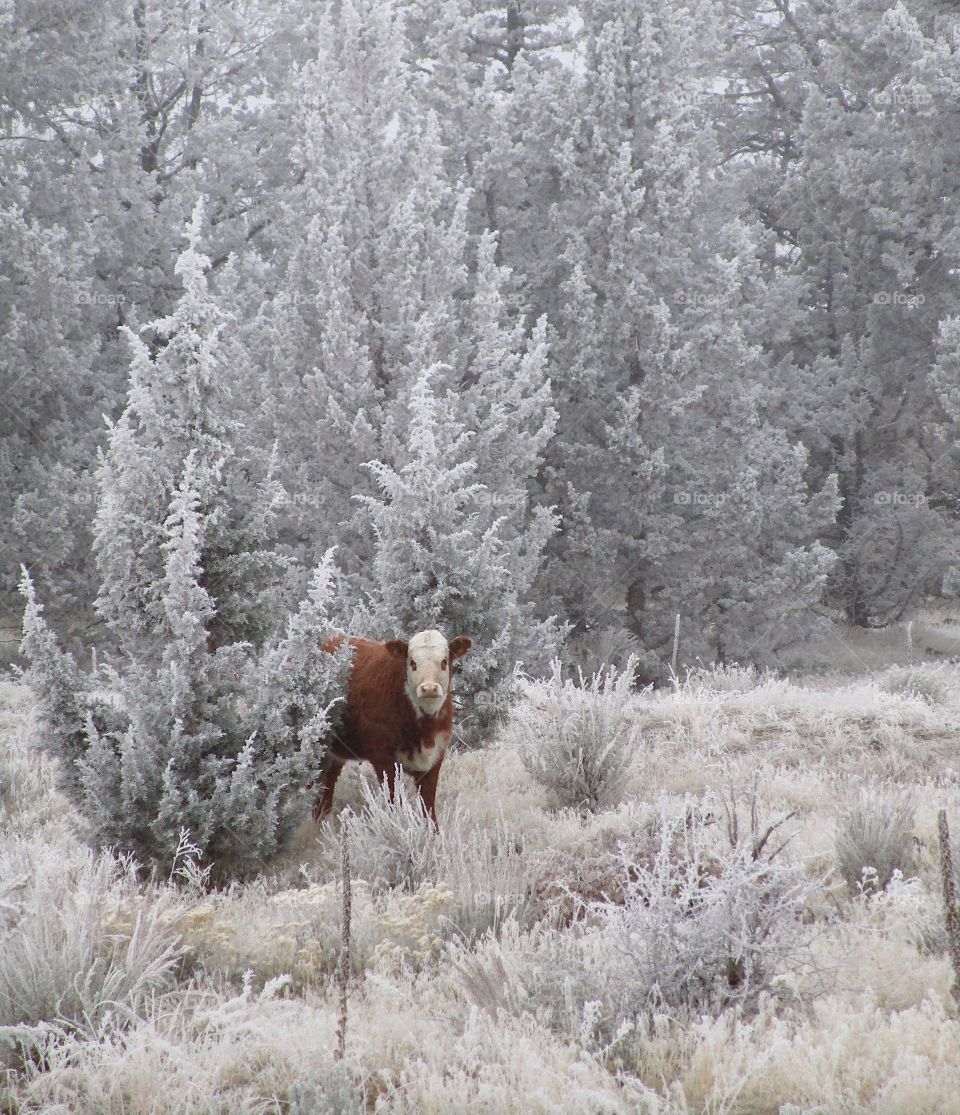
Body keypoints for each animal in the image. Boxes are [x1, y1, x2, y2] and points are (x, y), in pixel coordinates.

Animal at [314, 633, 472, 825]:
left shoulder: (434, 758)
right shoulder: (384, 759)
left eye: (444, 662)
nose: (429, 689)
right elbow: (395, 804)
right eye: (412, 662)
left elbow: (428, 810)